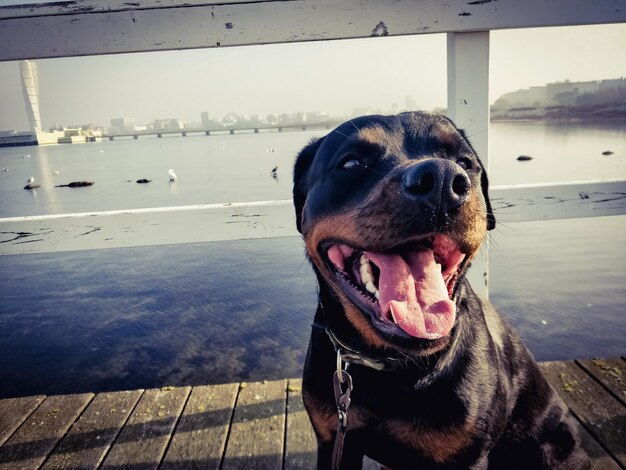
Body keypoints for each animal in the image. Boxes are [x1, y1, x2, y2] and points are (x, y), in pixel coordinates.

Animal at [290, 112, 588, 468]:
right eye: (350, 163)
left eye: (464, 162)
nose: (443, 180)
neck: (390, 365)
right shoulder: (335, 438)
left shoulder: (467, 456)